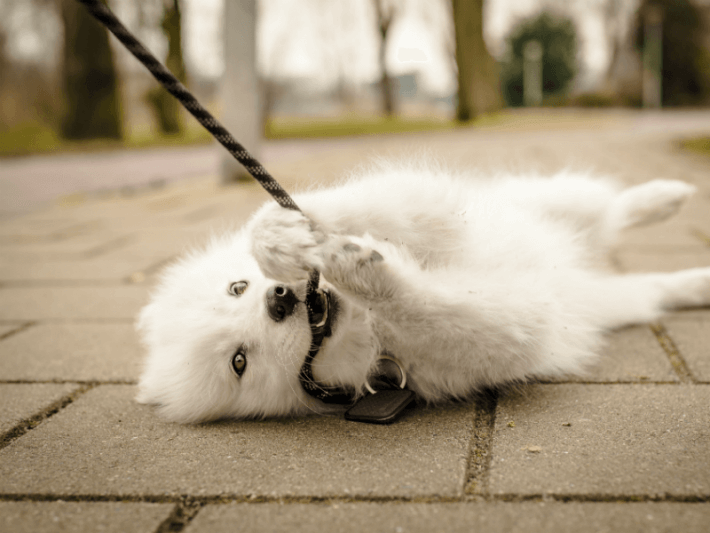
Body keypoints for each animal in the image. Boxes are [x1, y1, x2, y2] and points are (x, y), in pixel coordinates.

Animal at [136, 162, 708, 424]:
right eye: (239, 361)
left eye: (237, 286)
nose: (278, 299)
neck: (365, 327)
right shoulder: (510, 329)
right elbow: (434, 309)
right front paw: (364, 269)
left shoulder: (431, 208)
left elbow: (380, 210)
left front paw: (285, 236)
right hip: (618, 300)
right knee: (651, 279)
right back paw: (697, 279)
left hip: (550, 199)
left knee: (609, 209)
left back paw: (666, 197)